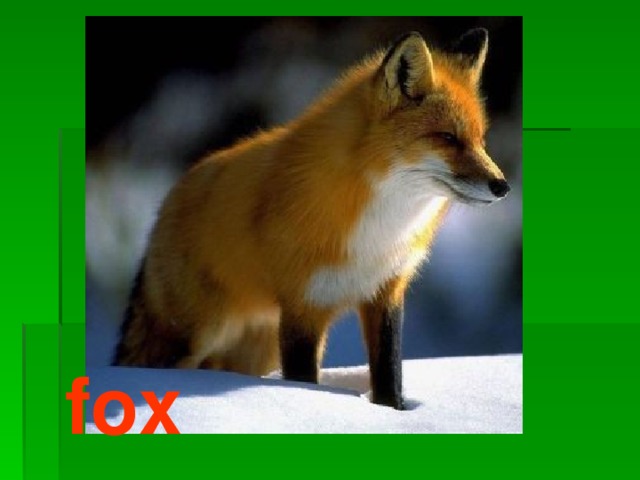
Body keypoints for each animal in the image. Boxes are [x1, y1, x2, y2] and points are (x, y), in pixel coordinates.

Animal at [113, 28, 510, 410]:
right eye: (447, 138)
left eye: (480, 140)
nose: (502, 186)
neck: (380, 226)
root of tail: (166, 202)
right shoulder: (304, 307)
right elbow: (304, 383)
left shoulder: (386, 292)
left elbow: (389, 377)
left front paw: (393, 413)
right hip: (195, 334)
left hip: (256, 349)